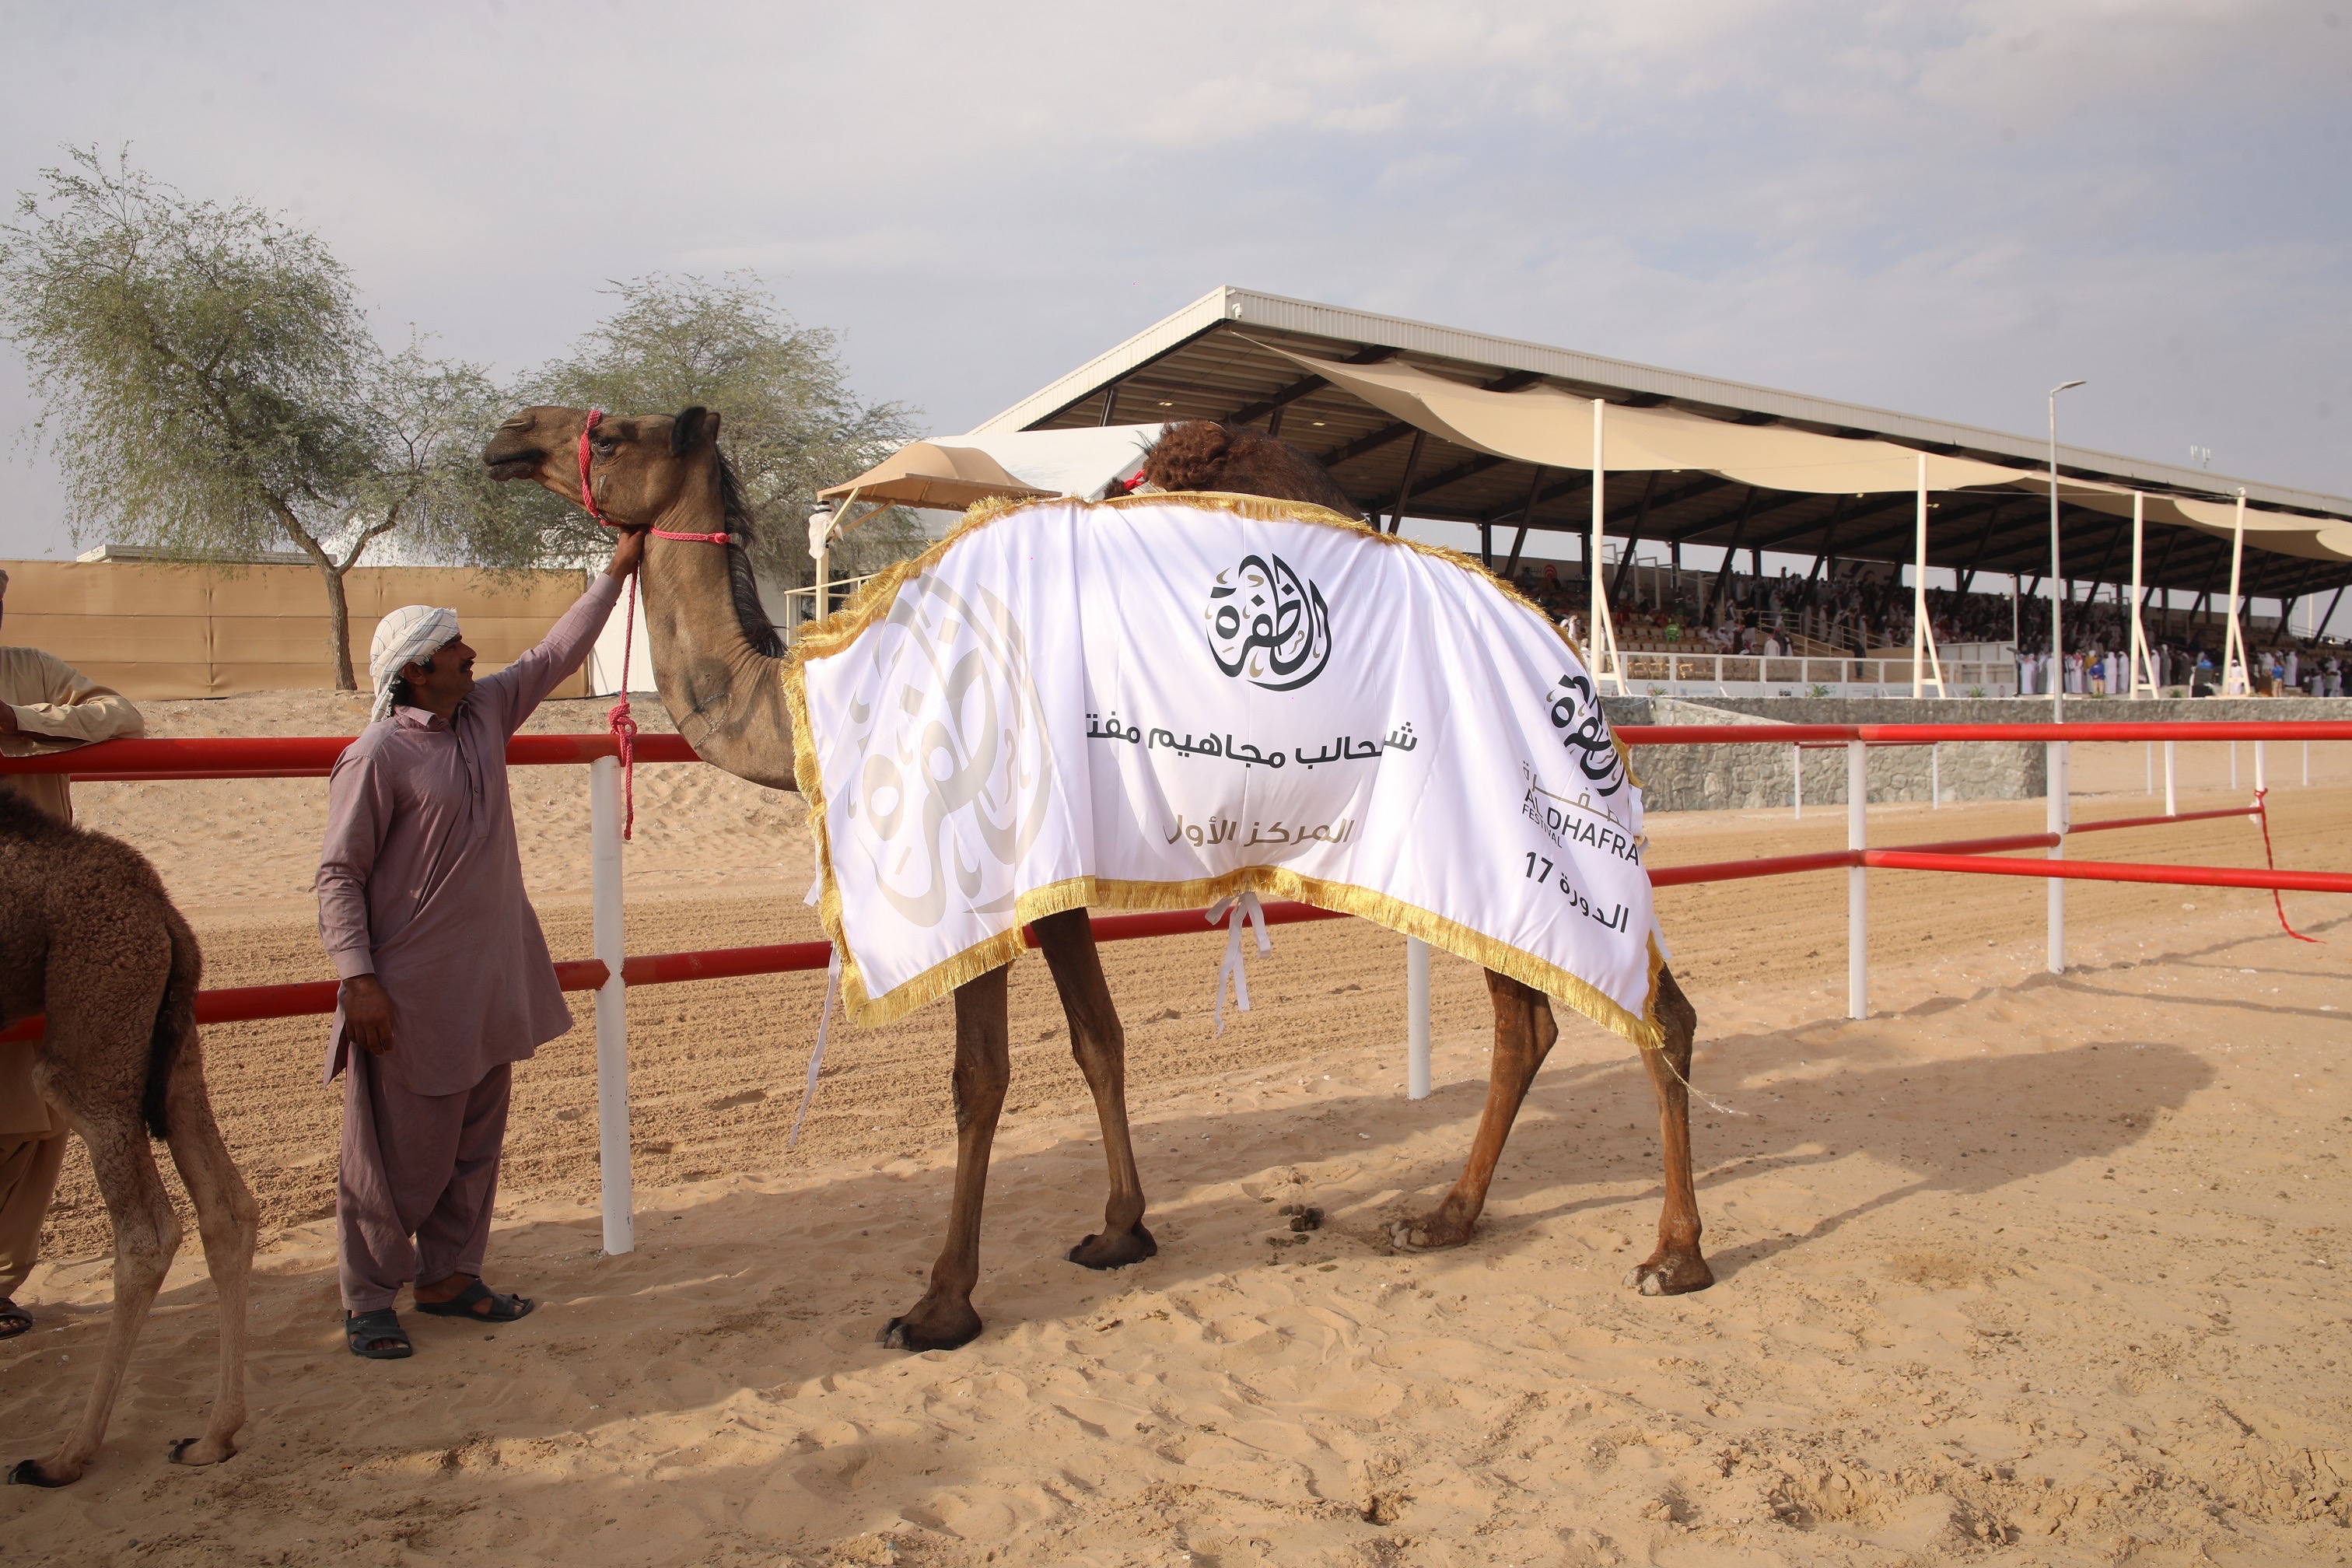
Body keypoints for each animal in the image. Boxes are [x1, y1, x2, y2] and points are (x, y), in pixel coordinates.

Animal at [0, 789, 257, 1495]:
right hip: (172, 1042)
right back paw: (211, 1437)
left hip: (93, 1038)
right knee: (228, 1209)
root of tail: (161, 908)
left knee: (148, 1233)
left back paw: (64, 1455)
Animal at [481, 411, 1712, 1353]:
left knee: (1653, 1008)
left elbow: (980, 1077)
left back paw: (1675, 1256)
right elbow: (1098, 1039)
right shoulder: (1055, 870)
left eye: (619, 429)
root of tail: (1567, 655)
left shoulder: (979, 852)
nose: (506, 437)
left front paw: (939, 1303)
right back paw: (1447, 1218)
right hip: (1462, 857)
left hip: (1526, 825)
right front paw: (1123, 1230)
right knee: (1529, 1020)